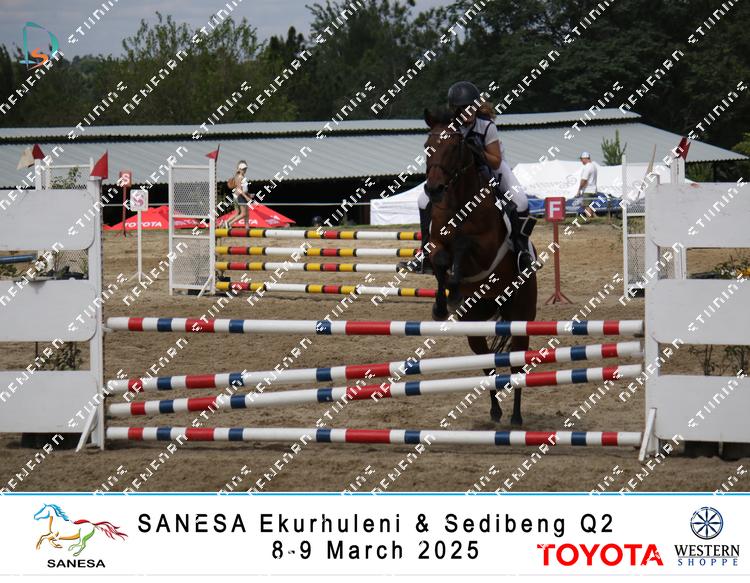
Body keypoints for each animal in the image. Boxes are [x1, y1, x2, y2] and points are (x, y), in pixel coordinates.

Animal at [422, 108, 538, 425]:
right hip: (474, 325)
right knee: (488, 365)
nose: (434, 190)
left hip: (521, 316)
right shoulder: (436, 242)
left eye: (453, 148)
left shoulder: (486, 249)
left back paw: (516, 417)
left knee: (517, 367)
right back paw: (496, 411)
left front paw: (453, 290)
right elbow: (440, 261)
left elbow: (463, 246)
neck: (460, 203)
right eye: (427, 146)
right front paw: (443, 303)